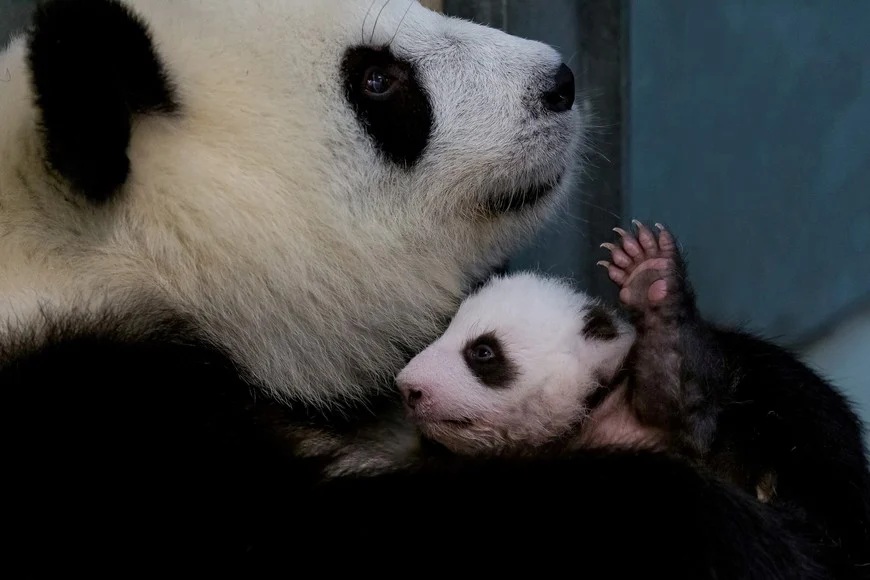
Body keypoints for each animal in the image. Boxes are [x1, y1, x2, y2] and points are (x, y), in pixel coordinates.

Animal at [394, 221, 870, 577]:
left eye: (482, 352)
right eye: (446, 330)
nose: (408, 387)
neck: (588, 411)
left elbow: (679, 394)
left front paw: (650, 277)